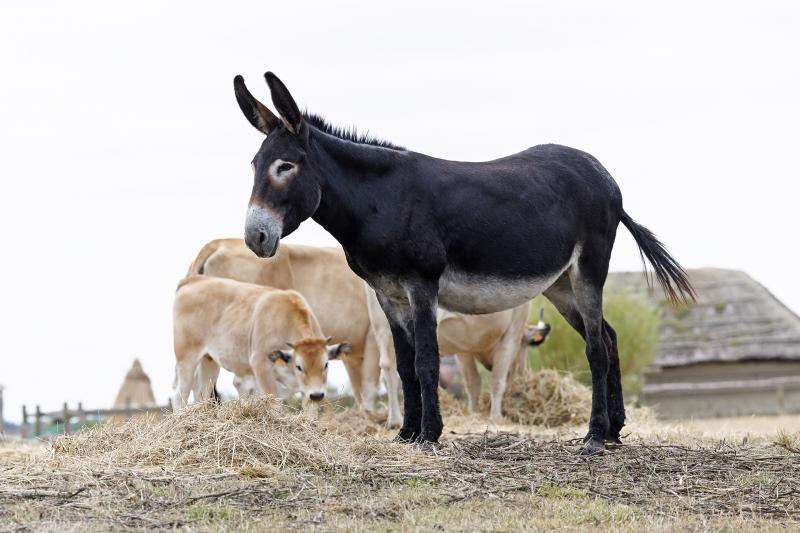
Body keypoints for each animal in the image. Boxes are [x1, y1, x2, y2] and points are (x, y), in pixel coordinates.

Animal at [173, 272, 348, 414]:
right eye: (299, 366)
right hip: (186, 358)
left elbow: (310, 411)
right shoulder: (261, 366)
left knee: (202, 392)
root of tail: (195, 279)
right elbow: (274, 405)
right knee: (181, 392)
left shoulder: (309, 389)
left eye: (326, 364)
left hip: (209, 360)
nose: (317, 394)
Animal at [368, 284, 544, 422]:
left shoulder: (464, 349)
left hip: (383, 327)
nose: (521, 373)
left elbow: (473, 382)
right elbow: (497, 381)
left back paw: (395, 420)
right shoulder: (512, 332)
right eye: (525, 345)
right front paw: (496, 417)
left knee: (389, 368)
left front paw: (474, 413)